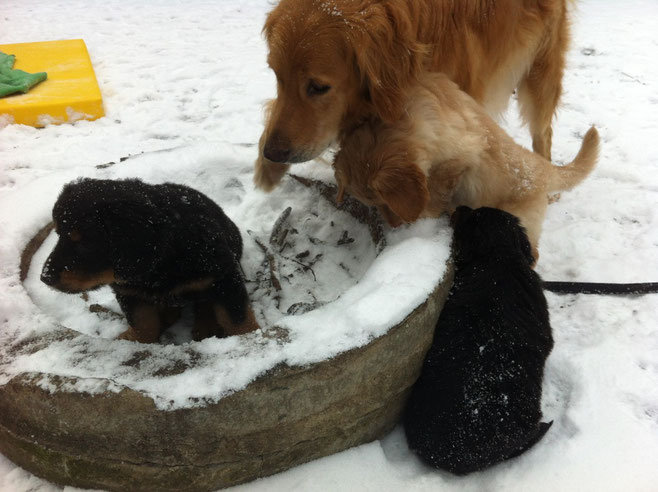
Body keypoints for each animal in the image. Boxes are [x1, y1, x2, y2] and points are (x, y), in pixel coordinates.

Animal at [41, 179, 258, 344]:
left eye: (85, 243)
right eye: (58, 234)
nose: (45, 278)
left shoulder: (225, 276)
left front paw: (250, 342)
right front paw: (133, 340)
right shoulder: (127, 290)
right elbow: (142, 322)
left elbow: (237, 318)